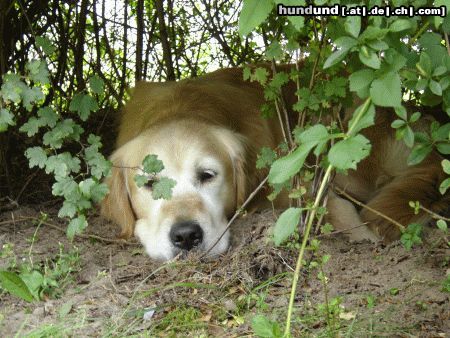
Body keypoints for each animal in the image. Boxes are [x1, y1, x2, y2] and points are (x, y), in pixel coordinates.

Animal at [102, 66, 450, 262]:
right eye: (148, 184)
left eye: (208, 175)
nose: (186, 236)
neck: (181, 106)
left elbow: (325, 204)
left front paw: (362, 236)